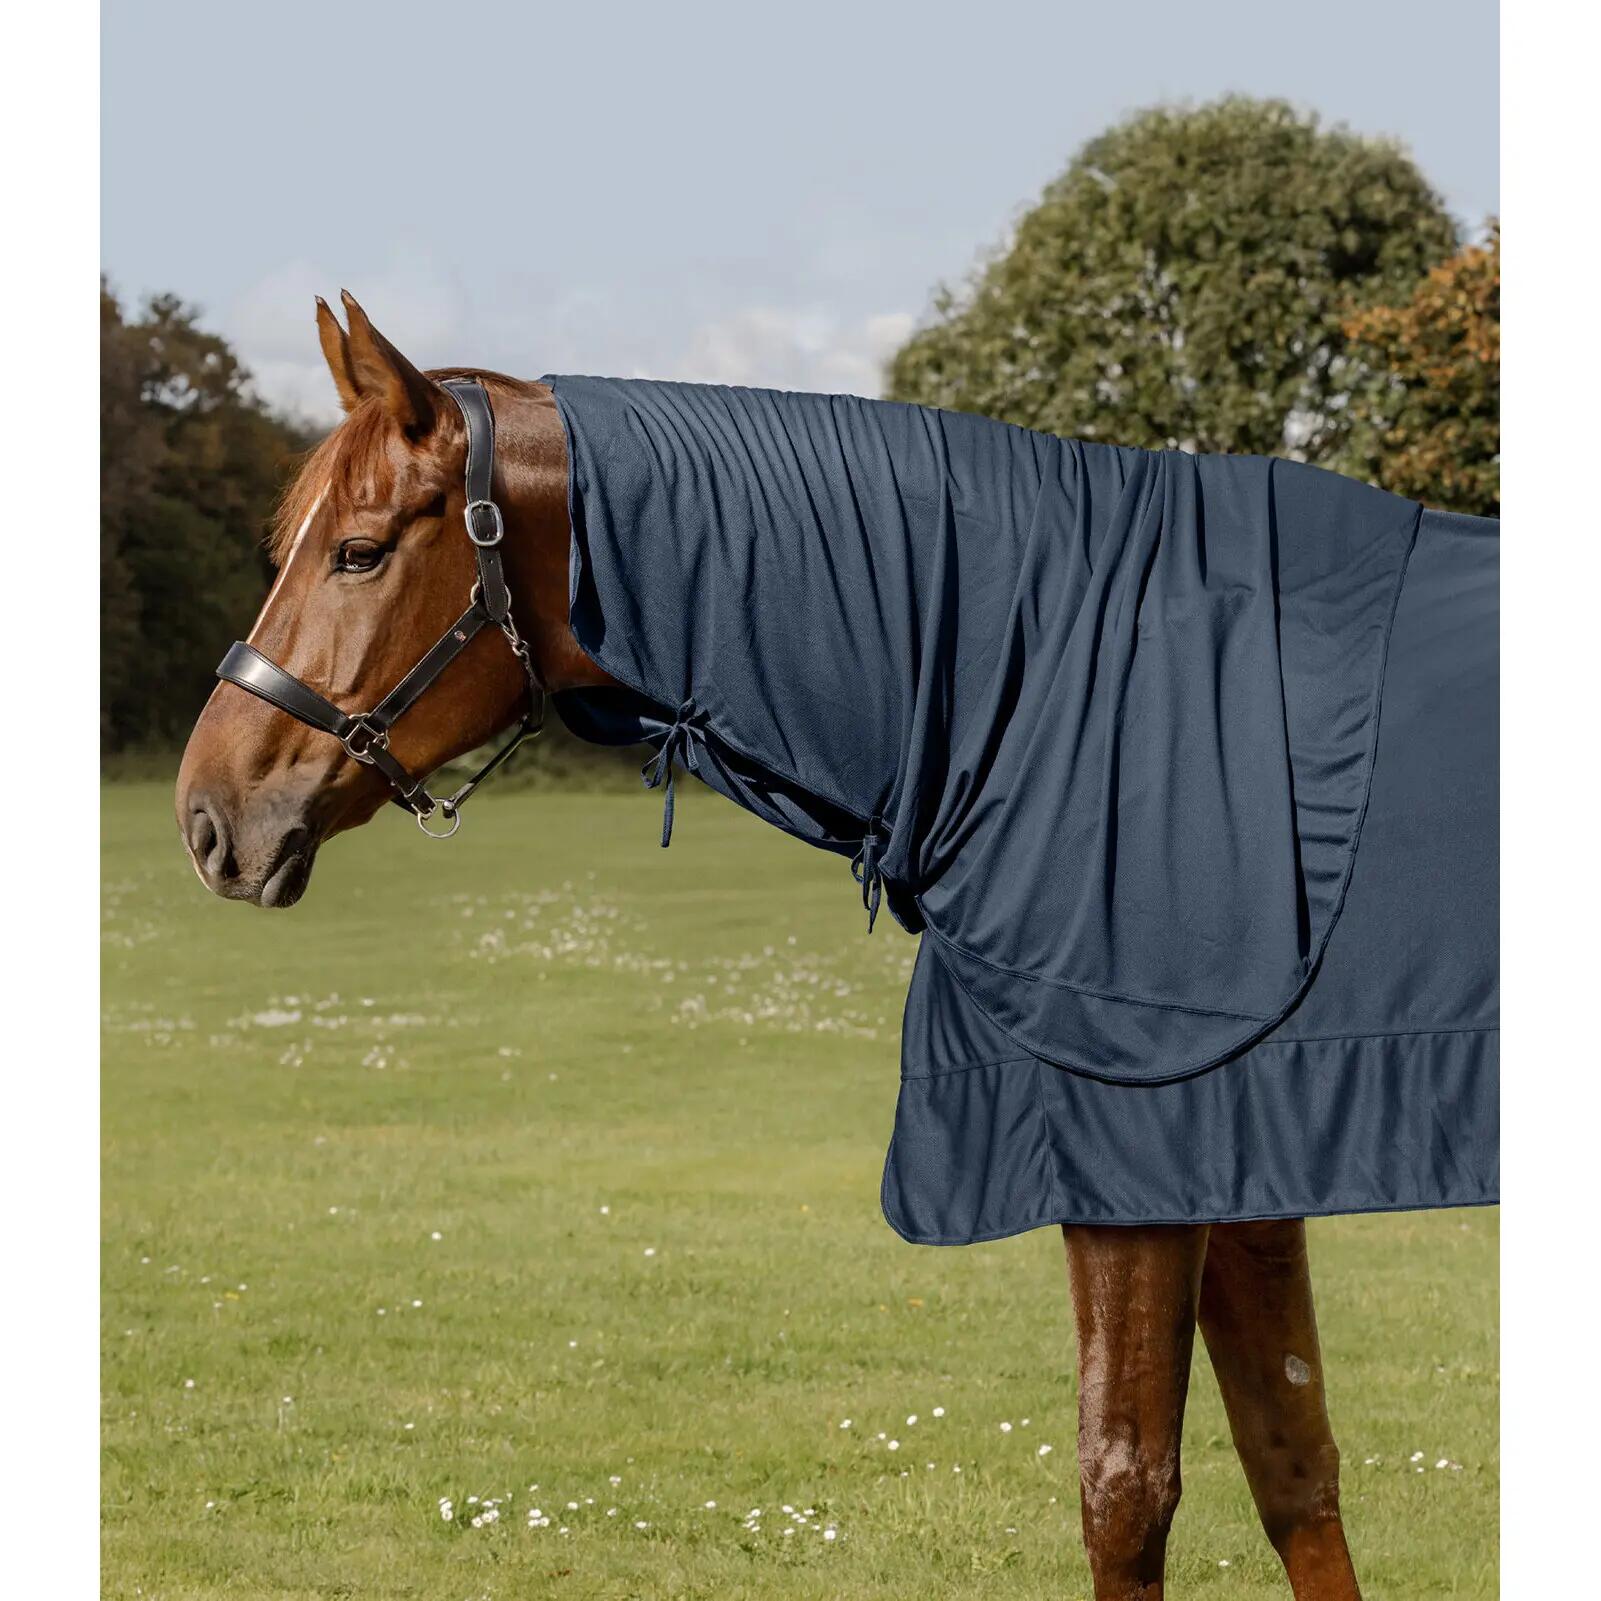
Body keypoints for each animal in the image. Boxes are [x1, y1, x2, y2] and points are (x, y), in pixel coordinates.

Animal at [177, 292, 1421, 1600]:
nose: (207, 815)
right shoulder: (1239, 1166)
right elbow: (1292, 1462)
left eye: (359, 552)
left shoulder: (1140, 1161)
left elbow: (1127, 1486)